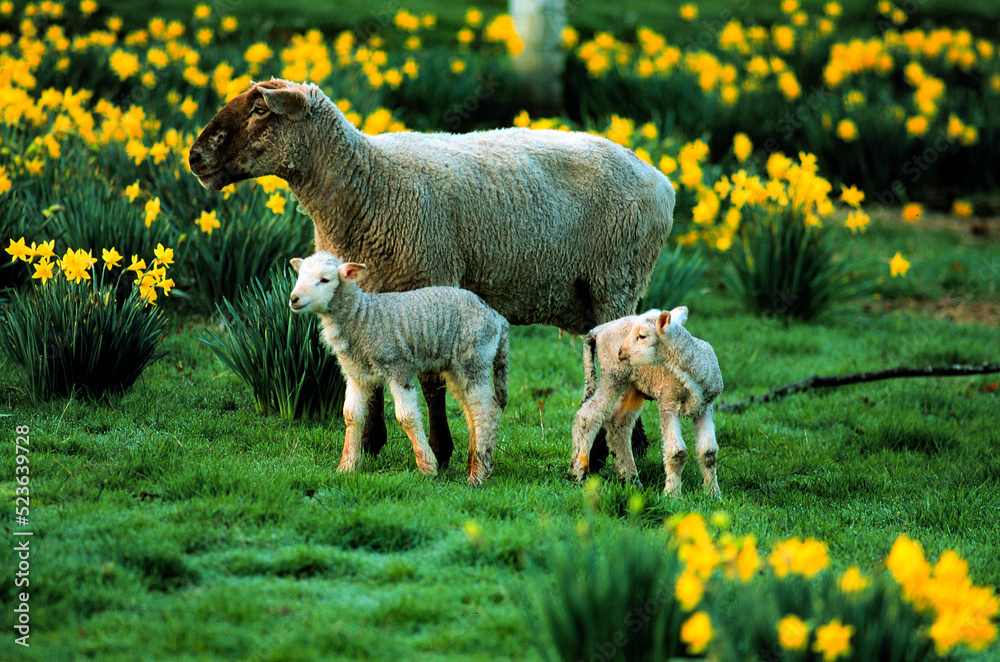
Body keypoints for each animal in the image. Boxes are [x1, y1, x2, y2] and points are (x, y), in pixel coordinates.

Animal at [288, 252, 508, 486]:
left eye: (325, 280)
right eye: (300, 276)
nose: (294, 298)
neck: (362, 319)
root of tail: (496, 318)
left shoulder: (398, 366)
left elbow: (407, 417)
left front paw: (427, 467)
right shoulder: (356, 374)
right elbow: (351, 415)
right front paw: (346, 467)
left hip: (474, 357)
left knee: (486, 411)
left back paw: (478, 474)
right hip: (456, 367)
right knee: (471, 410)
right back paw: (473, 464)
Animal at [572, 308, 728, 496]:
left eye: (642, 336)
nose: (620, 352)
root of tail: (598, 329)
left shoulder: (705, 407)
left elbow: (708, 453)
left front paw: (713, 493)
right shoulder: (668, 402)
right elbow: (677, 453)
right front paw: (672, 493)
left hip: (633, 385)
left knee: (618, 423)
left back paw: (631, 480)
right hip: (613, 375)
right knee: (588, 416)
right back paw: (579, 474)